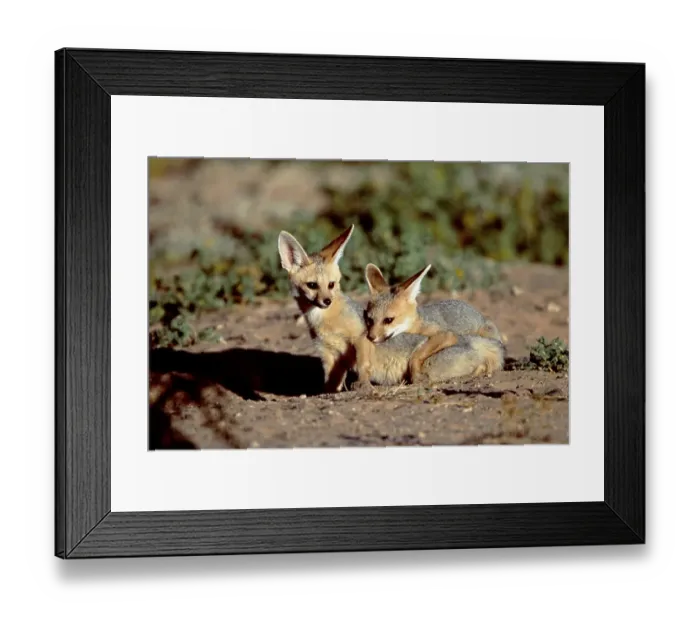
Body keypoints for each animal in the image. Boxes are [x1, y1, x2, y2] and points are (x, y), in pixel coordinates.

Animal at [360, 263, 503, 383]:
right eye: (369, 319)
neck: (416, 325)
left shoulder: (445, 334)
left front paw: (414, 374)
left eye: (388, 320)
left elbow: (416, 356)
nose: (370, 337)